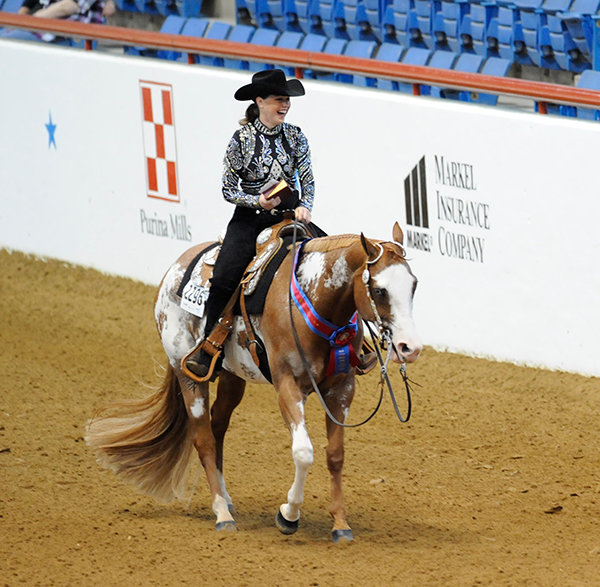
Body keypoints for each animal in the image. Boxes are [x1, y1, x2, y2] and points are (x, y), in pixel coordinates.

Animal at [85, 223, 422, 544]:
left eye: (414, 285)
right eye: (379, 290)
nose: (410, 348)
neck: (314, 302)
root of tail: (176, 267)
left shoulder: (341, 390)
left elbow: (335, 456)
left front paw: (340, 524)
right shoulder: (288, 386)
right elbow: (303, 452)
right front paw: (288, 515)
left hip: (233, 377)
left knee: (218, 427)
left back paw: (226, 499)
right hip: (188, 376)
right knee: (204, 439)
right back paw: (221, 513)